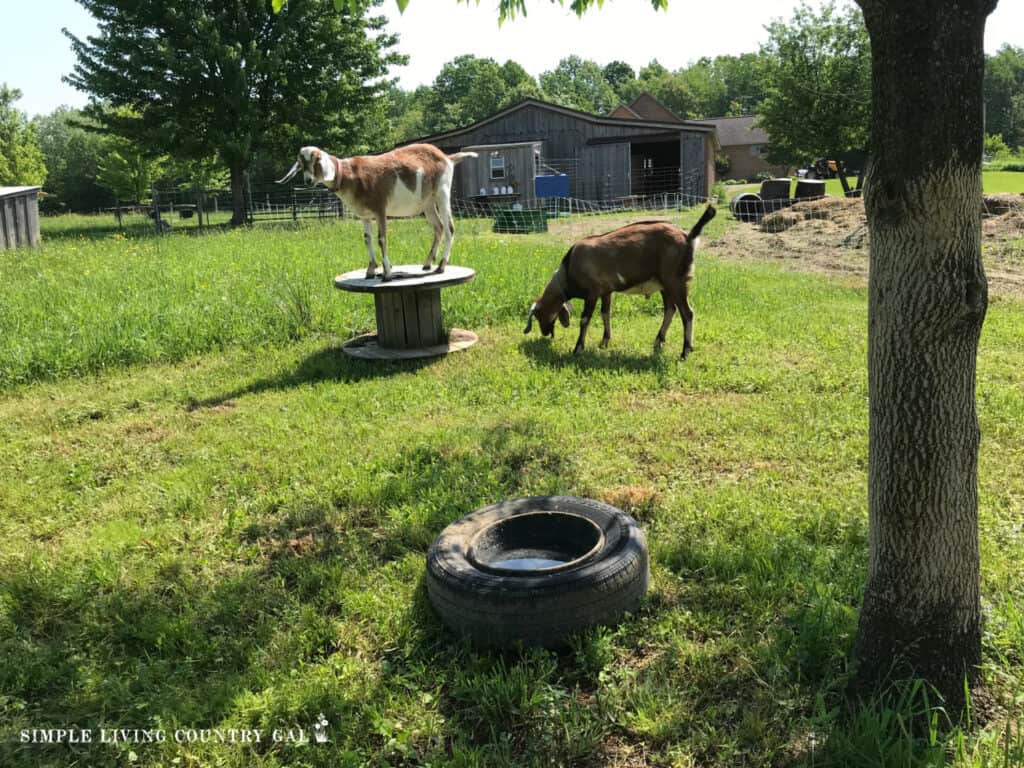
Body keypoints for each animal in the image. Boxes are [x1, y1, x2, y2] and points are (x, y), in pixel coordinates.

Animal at [274, 143, 477, 280]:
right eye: (301, 163)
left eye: (316, 161)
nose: (308, 181)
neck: (351, 175)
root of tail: (447, 157)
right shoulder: (364, 215)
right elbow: (367, 239)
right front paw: (371, 270)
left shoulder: (380, 209)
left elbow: (381, 239)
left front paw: (387, 272)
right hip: (427, 203)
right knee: (438, 228)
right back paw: (427, 263)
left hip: (442, 193)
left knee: (450, 228)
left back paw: (441, 265)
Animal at [524, 204, 716, 360]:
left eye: (538, 315)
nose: (544, 333)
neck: (569, 267)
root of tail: (688, 237)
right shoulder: (606, 292)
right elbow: (605, 314)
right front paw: (604, 342)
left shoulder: (592, 293)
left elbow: (585, 319)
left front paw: (578, 348)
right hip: (665, 285)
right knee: (670, 309)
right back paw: (658, 341)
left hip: (676, 281)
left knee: (687, 313)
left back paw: (685, 352)